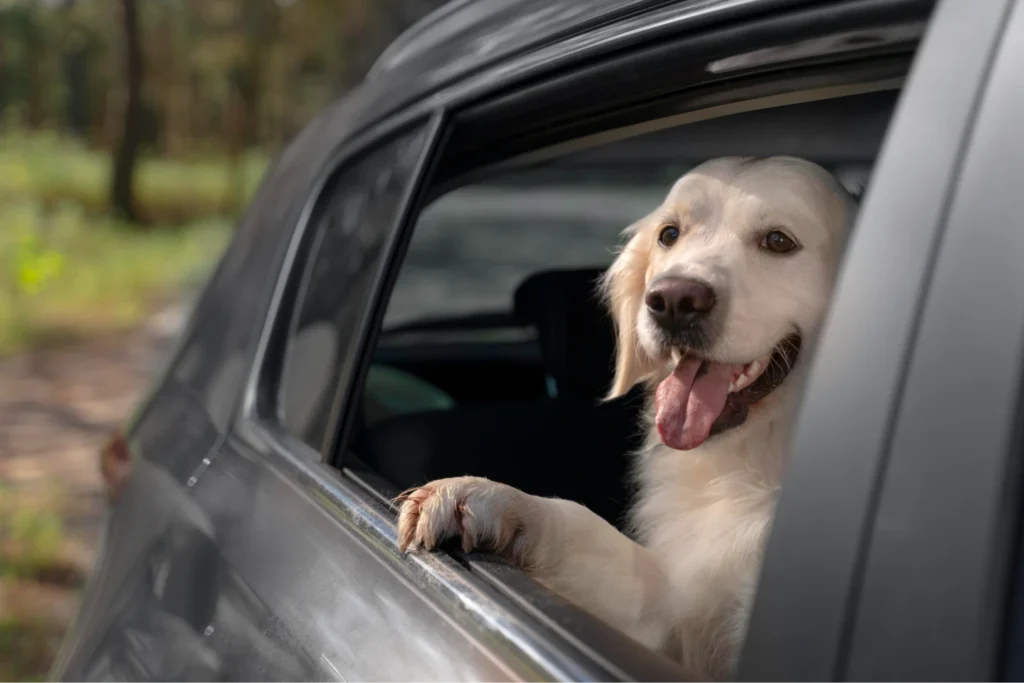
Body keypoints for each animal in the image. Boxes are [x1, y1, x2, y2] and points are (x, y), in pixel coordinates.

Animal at [395, 157, 851, 679]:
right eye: (669, 234)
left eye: (778, 241)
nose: (673, 300)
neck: (750, 460)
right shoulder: (674, 614)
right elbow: (582, 525)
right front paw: (481, 495)